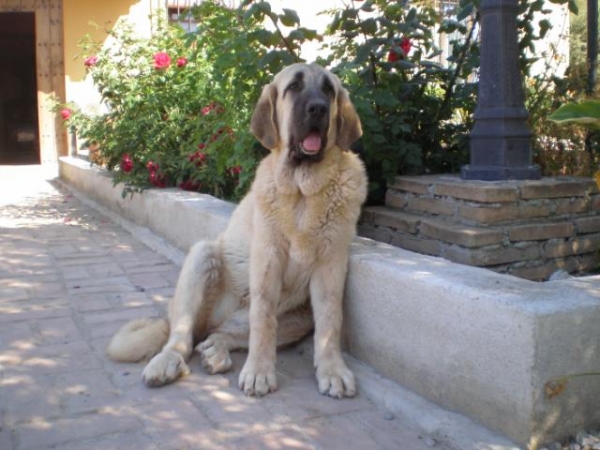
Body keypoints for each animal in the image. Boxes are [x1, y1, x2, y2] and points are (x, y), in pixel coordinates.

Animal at [106, 62, 368, 398]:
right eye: (294, 87)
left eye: (328, 90)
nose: (318, 109)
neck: (302, 191)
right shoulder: (268, 258)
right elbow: (263, 319)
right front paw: (259, 371)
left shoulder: (330, 264)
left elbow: (330, 322)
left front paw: (332, 370)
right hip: (202, 259)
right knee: (183, 336)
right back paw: (167, 361)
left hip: (298, 319)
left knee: (219, 334)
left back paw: (216, 351)